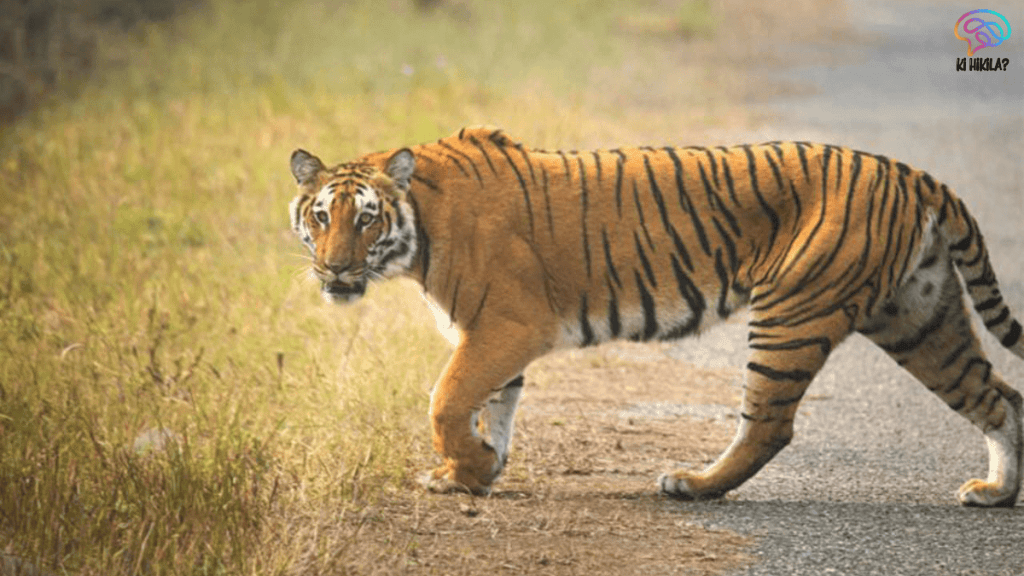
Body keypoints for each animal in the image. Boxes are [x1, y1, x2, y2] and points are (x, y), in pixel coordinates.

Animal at [288, 126, 1024, 506]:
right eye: (320, 217)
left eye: (365, 219)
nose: (334, 270)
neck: (419, 229)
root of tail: (912, 173)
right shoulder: (490, 336)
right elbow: (492, 405)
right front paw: (476, 473)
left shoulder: (507, 326)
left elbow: (446, 400)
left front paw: (465, 468)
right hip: (919, 318)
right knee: (999, 396)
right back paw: (995, 492)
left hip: (793, 314)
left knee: (769, 425)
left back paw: (692, 485)